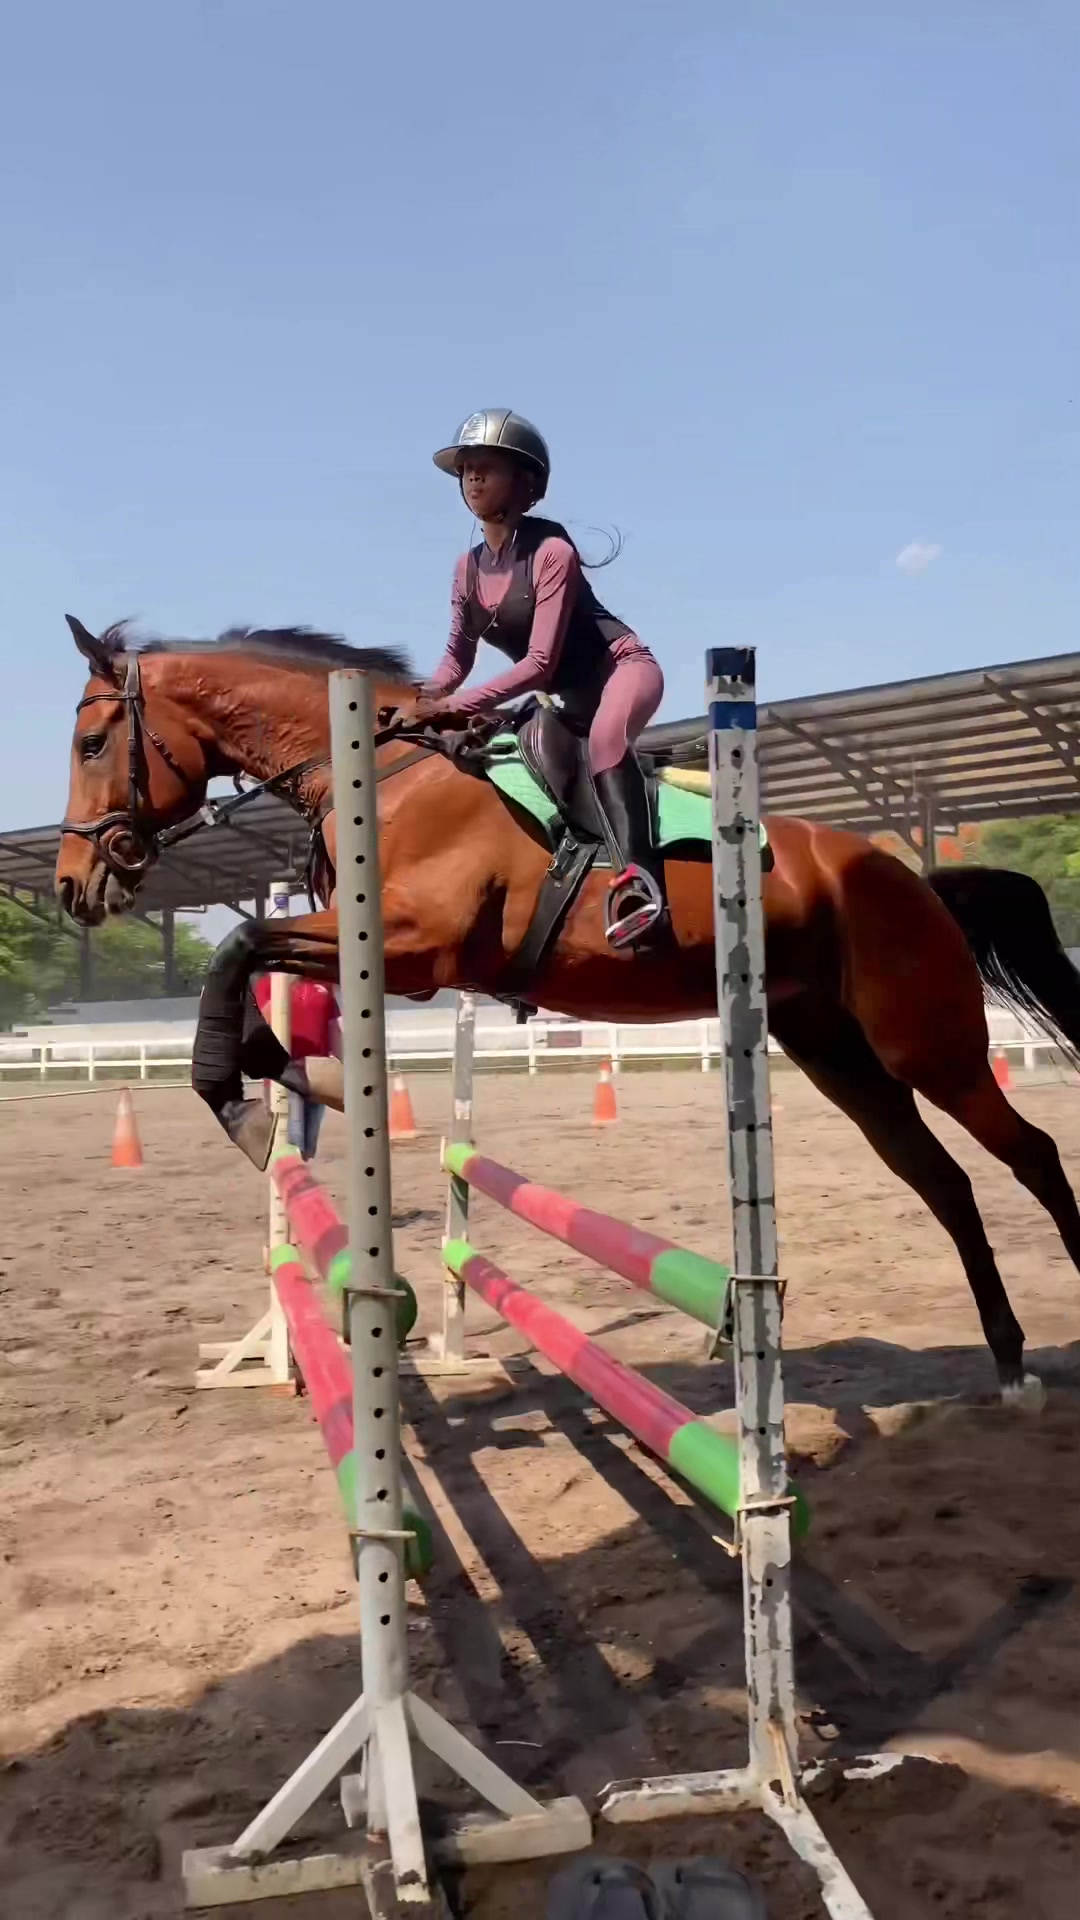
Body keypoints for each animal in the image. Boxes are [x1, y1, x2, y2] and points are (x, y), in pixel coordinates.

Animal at [55, 615, 1080, 1404]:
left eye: (93, 745)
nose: (75, 887)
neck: (384, 776)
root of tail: (911, 877)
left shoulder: (416, 948)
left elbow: (236, 945)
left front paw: (235, 1090)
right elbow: (245, 954)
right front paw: (272, 1070)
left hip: (926, 1046)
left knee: (1029, 1154)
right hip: (843, 1060)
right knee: (944, 1182)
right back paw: (1007, 1358)